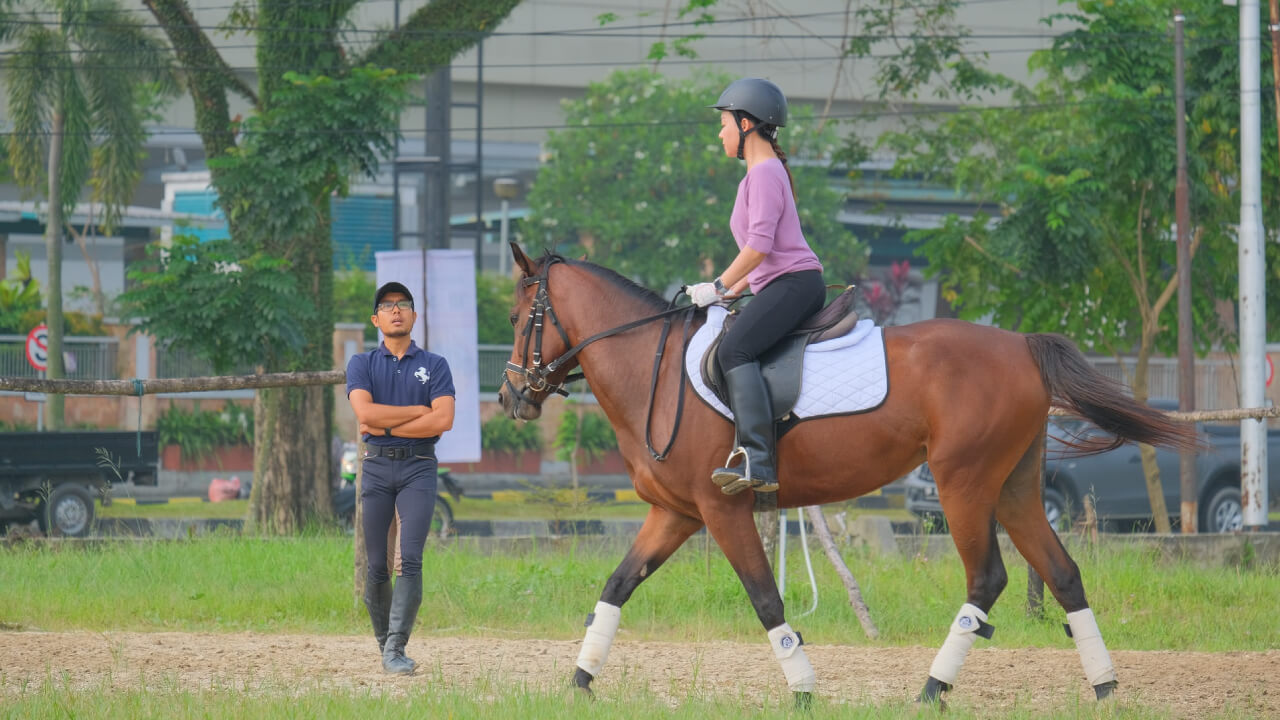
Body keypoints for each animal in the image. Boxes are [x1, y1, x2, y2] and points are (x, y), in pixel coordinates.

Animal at [497, 246, 1198, 707]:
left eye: (516, 318)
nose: (510, 398)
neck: (656, 369)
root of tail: (1021, 343)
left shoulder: (723, 510)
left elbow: (765, 598)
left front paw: (804, 688)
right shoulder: (675, 513)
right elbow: (616, 587)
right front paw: (580, 681)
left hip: (965, 484)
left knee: (988, 578)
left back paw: (933, 689)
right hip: (1015, 489)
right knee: (1063, 573)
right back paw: (1104, 686)